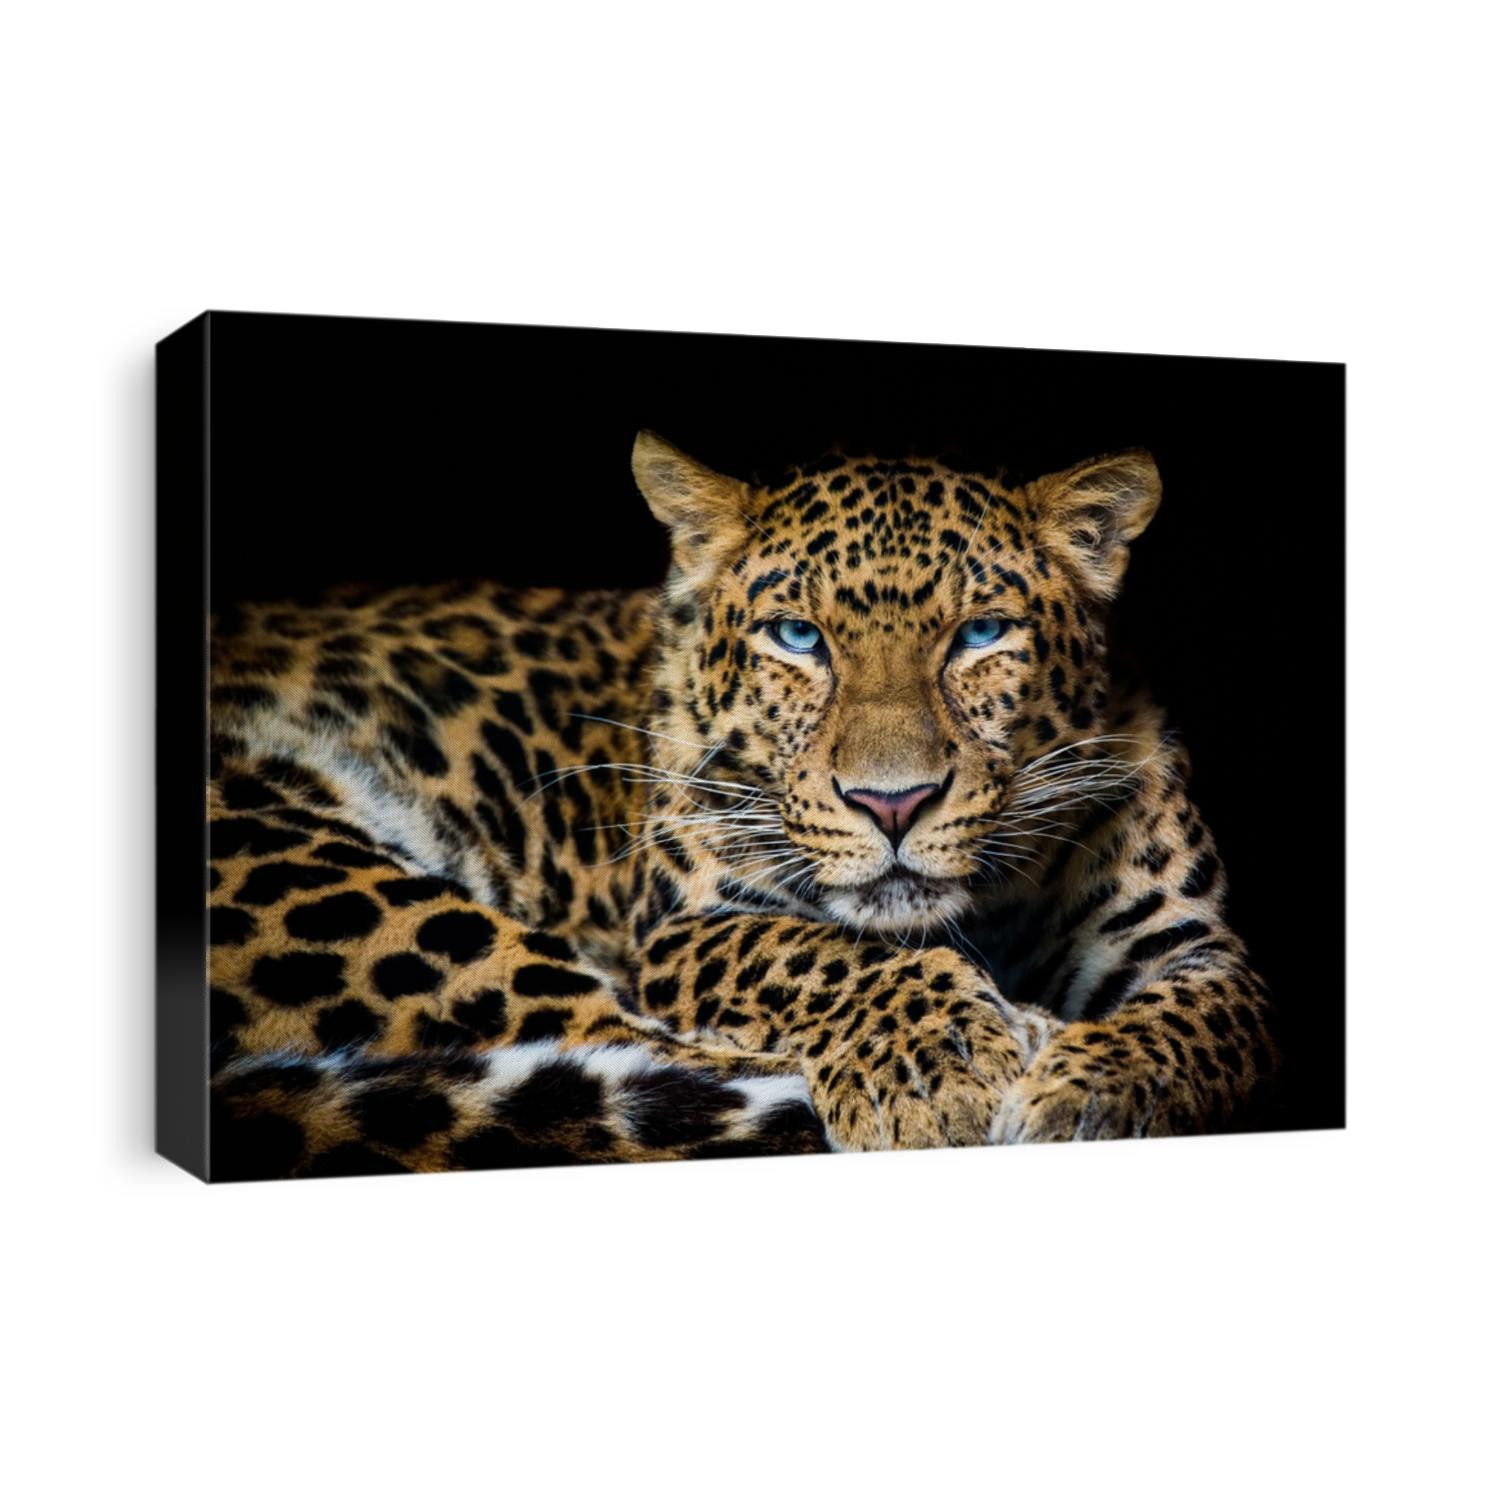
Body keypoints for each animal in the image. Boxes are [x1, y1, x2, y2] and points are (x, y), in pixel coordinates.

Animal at [206, 430, 1277, 1177]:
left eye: (982, 633)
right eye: (797, 637)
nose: (894, 805)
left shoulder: (1189, 942)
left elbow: (1206, 1022)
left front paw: (1096, 1095)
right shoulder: (688, 927)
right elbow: (818, 954)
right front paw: (942, 1064)